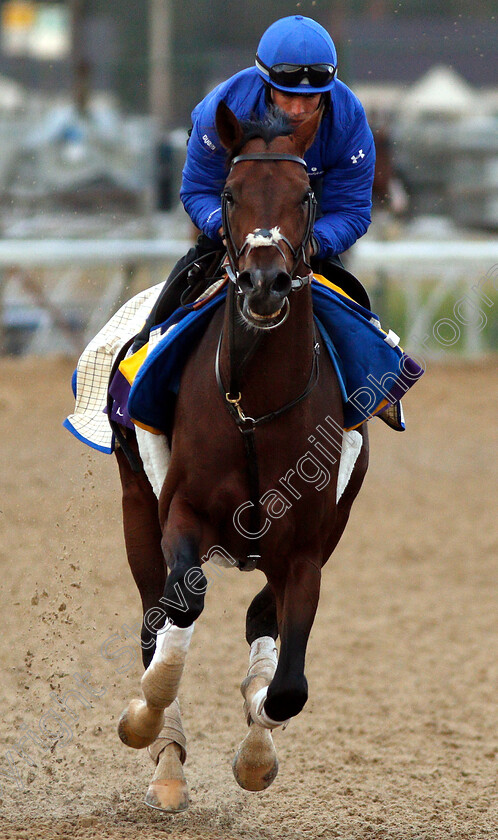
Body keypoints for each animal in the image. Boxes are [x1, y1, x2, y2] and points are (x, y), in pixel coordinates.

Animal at [114, 101, 370, 812]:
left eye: (306, 194)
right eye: (229, 193)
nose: (264, 281)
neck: (255, 406)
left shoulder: (308, 548)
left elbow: (287, 688)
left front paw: (257, 753)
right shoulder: (180, 513)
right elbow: (178, 618)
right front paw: (145, 722)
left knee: (259, 620)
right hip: (135, 504)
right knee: (154, 617)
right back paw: (167, 765)